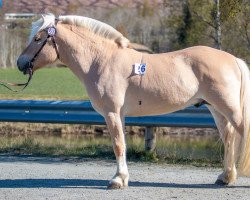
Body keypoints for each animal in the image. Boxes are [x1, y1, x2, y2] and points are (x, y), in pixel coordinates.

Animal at [17, 14, 250, 189]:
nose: (20, 63)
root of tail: (233, 59)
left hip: (231, 110)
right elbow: (122, 144)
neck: (101, 60)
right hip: (217, 110)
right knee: (228, 138)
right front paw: (123, 177)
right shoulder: (119, 114)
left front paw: (117, 180)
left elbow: (118, 145)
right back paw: (225, 177)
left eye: (37, 38)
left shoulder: (111, 113)